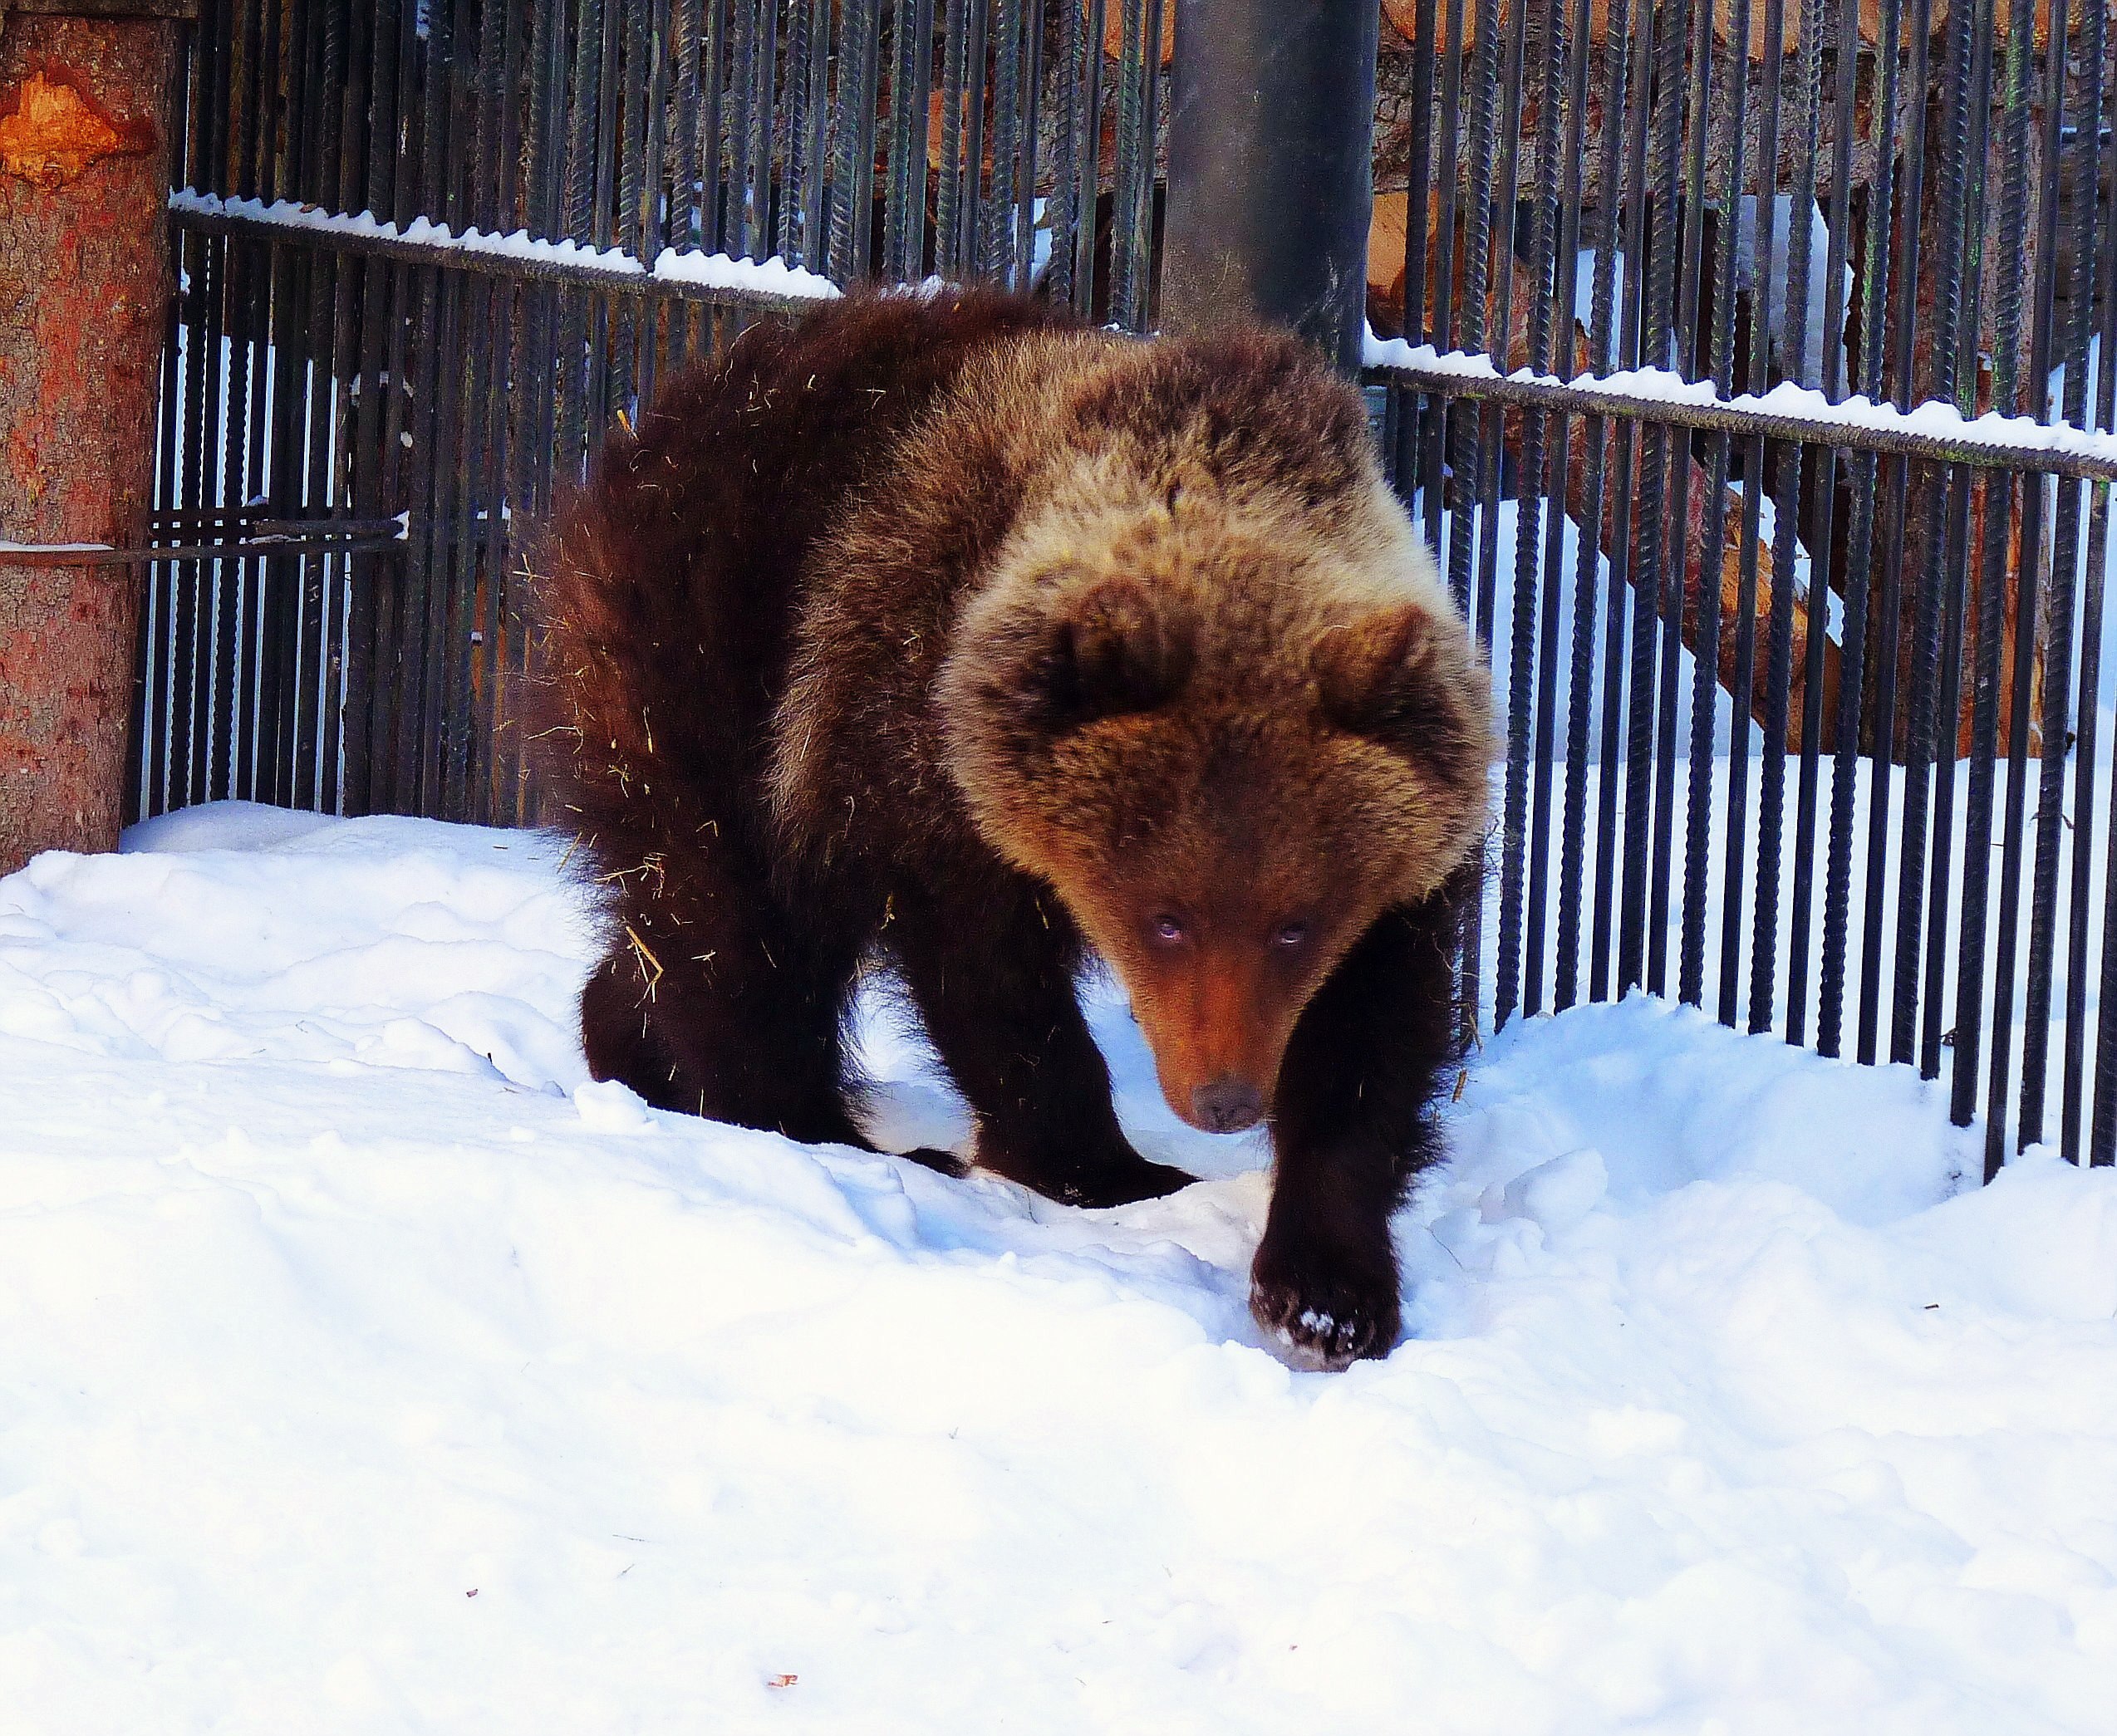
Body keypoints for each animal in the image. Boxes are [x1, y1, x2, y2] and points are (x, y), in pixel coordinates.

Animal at [533, 287, 1490, 1371]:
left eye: (1294, 924)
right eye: (1165, 917)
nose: (1223, 1099)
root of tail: (652, 418)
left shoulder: (1405, 870)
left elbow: (1372, 1041)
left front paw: (1327, 1293)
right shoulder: (916, 747)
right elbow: (992, 985)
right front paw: (1111, 1168)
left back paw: (624, 1040)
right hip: (706, 670)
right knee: (727, 921)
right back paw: (819, 1128)